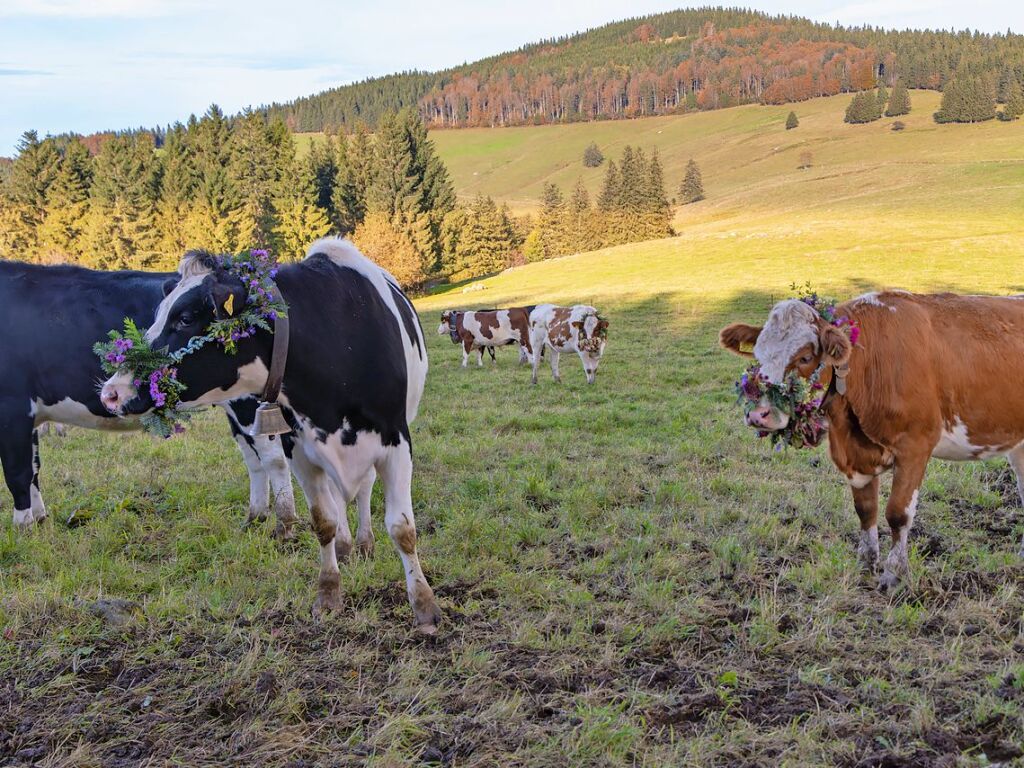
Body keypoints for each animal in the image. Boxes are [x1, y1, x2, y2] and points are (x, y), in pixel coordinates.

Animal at [0, 259, 296, 536]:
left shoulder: (12, 407)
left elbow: (17, 472)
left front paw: (23, 527)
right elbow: (33, 467)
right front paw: (39, 518)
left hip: (249, 402)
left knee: (273, 457)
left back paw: (285, 524)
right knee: (252, 456)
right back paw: (255, 517)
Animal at [100, 239, 440, 630]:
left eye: (184, 318)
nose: (111, 393)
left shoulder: (396, 442)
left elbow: (402, 529)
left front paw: (424, 606)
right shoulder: (300, 450)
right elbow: (323, 521)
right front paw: (328, 593)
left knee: (365, 488)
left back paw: (365, 542)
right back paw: (345, 545)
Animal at [720, 292, 1024, 589]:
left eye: (805, 357)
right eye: (758, 354)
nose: (758, 414)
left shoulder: (915, 445)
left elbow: (898, 513)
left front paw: (894, 575)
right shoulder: (854, 455)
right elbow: (865, 509)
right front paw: (866, 563)